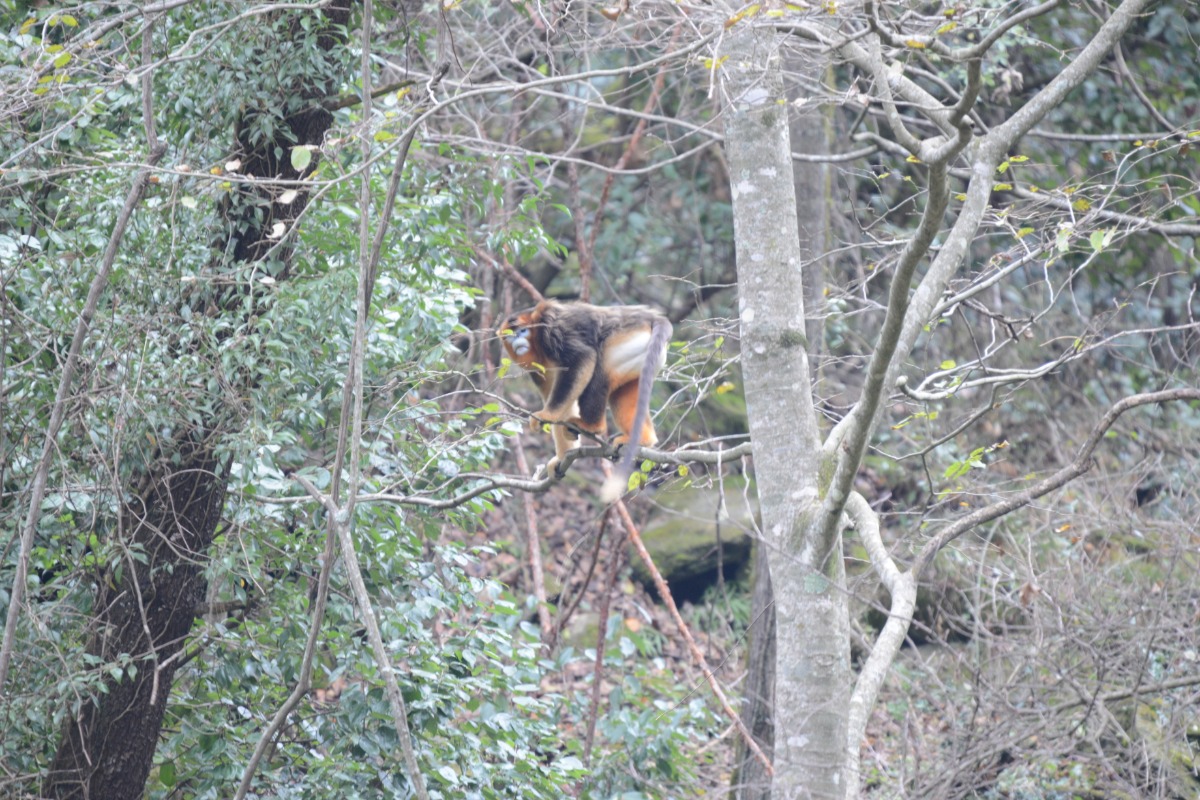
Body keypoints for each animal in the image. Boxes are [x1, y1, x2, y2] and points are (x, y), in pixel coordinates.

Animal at [497, 300, 672, 502]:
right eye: (510, 335)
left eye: (522, 331)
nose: (517, 340)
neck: (537, 339)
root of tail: (653, 317)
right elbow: (559, 403)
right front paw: (561, 459)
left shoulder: (551, 327)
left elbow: (583, 357)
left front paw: (547, 415)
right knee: (619, 392)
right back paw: (644, 440)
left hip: (629, 338)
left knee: (600, 370)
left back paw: (592, 426)